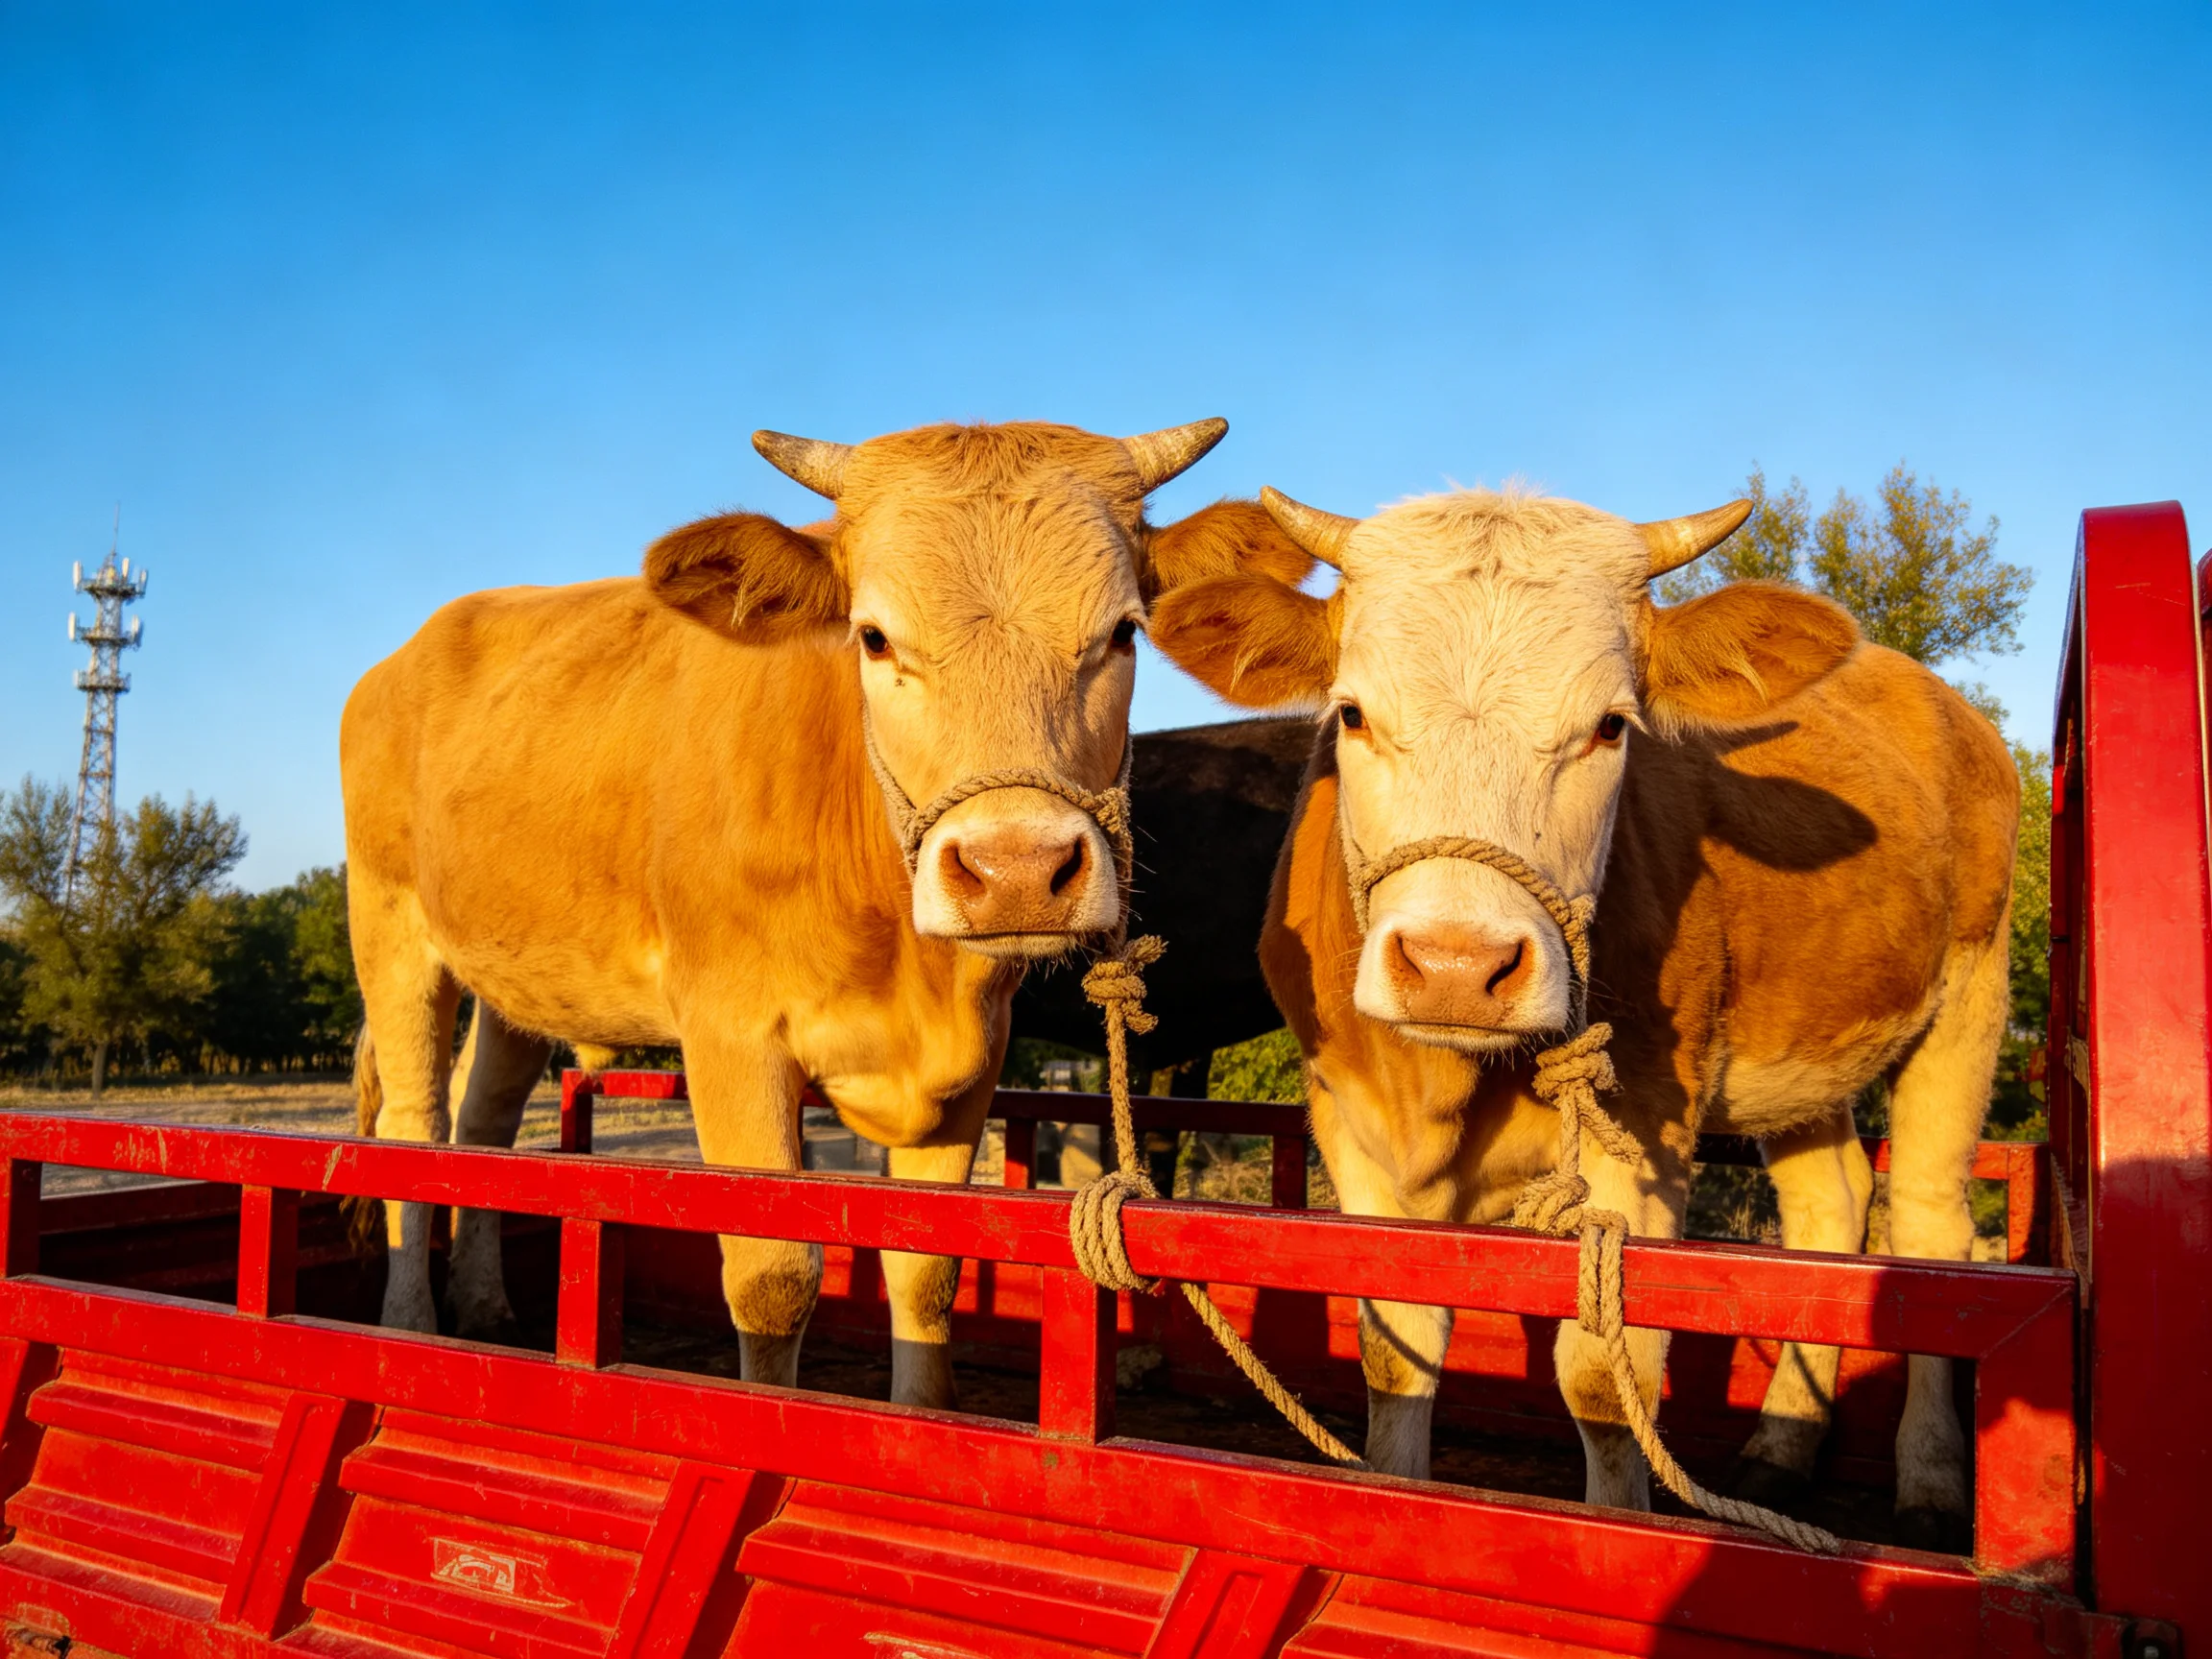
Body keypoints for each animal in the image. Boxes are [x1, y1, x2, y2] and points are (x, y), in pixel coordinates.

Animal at [341, 418, 1312, 1407]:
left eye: (1122, 632)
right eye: (874, 638)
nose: (1015, 869)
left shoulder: (972, 1062)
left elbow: (927, 1271)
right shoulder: (731, 1039)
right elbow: (773, 1280)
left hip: (521, 973)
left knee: (482, 1120)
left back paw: (484, 1306)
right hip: (392, 930)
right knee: (413, 1126)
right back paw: (408, 1326)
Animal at [1148, 483, 2016, 1548]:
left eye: (1611, 727)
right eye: (1351, 714)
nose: (1457, 965)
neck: (1442, 1081)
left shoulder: (1642, 1137)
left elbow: (1605, 1378)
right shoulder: (1353, 1127)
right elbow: (1398, 1343)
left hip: (1970, 996)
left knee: (1934, 1236)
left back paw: (1931, 1479)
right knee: (1832, 1209)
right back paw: (1782, 1446)